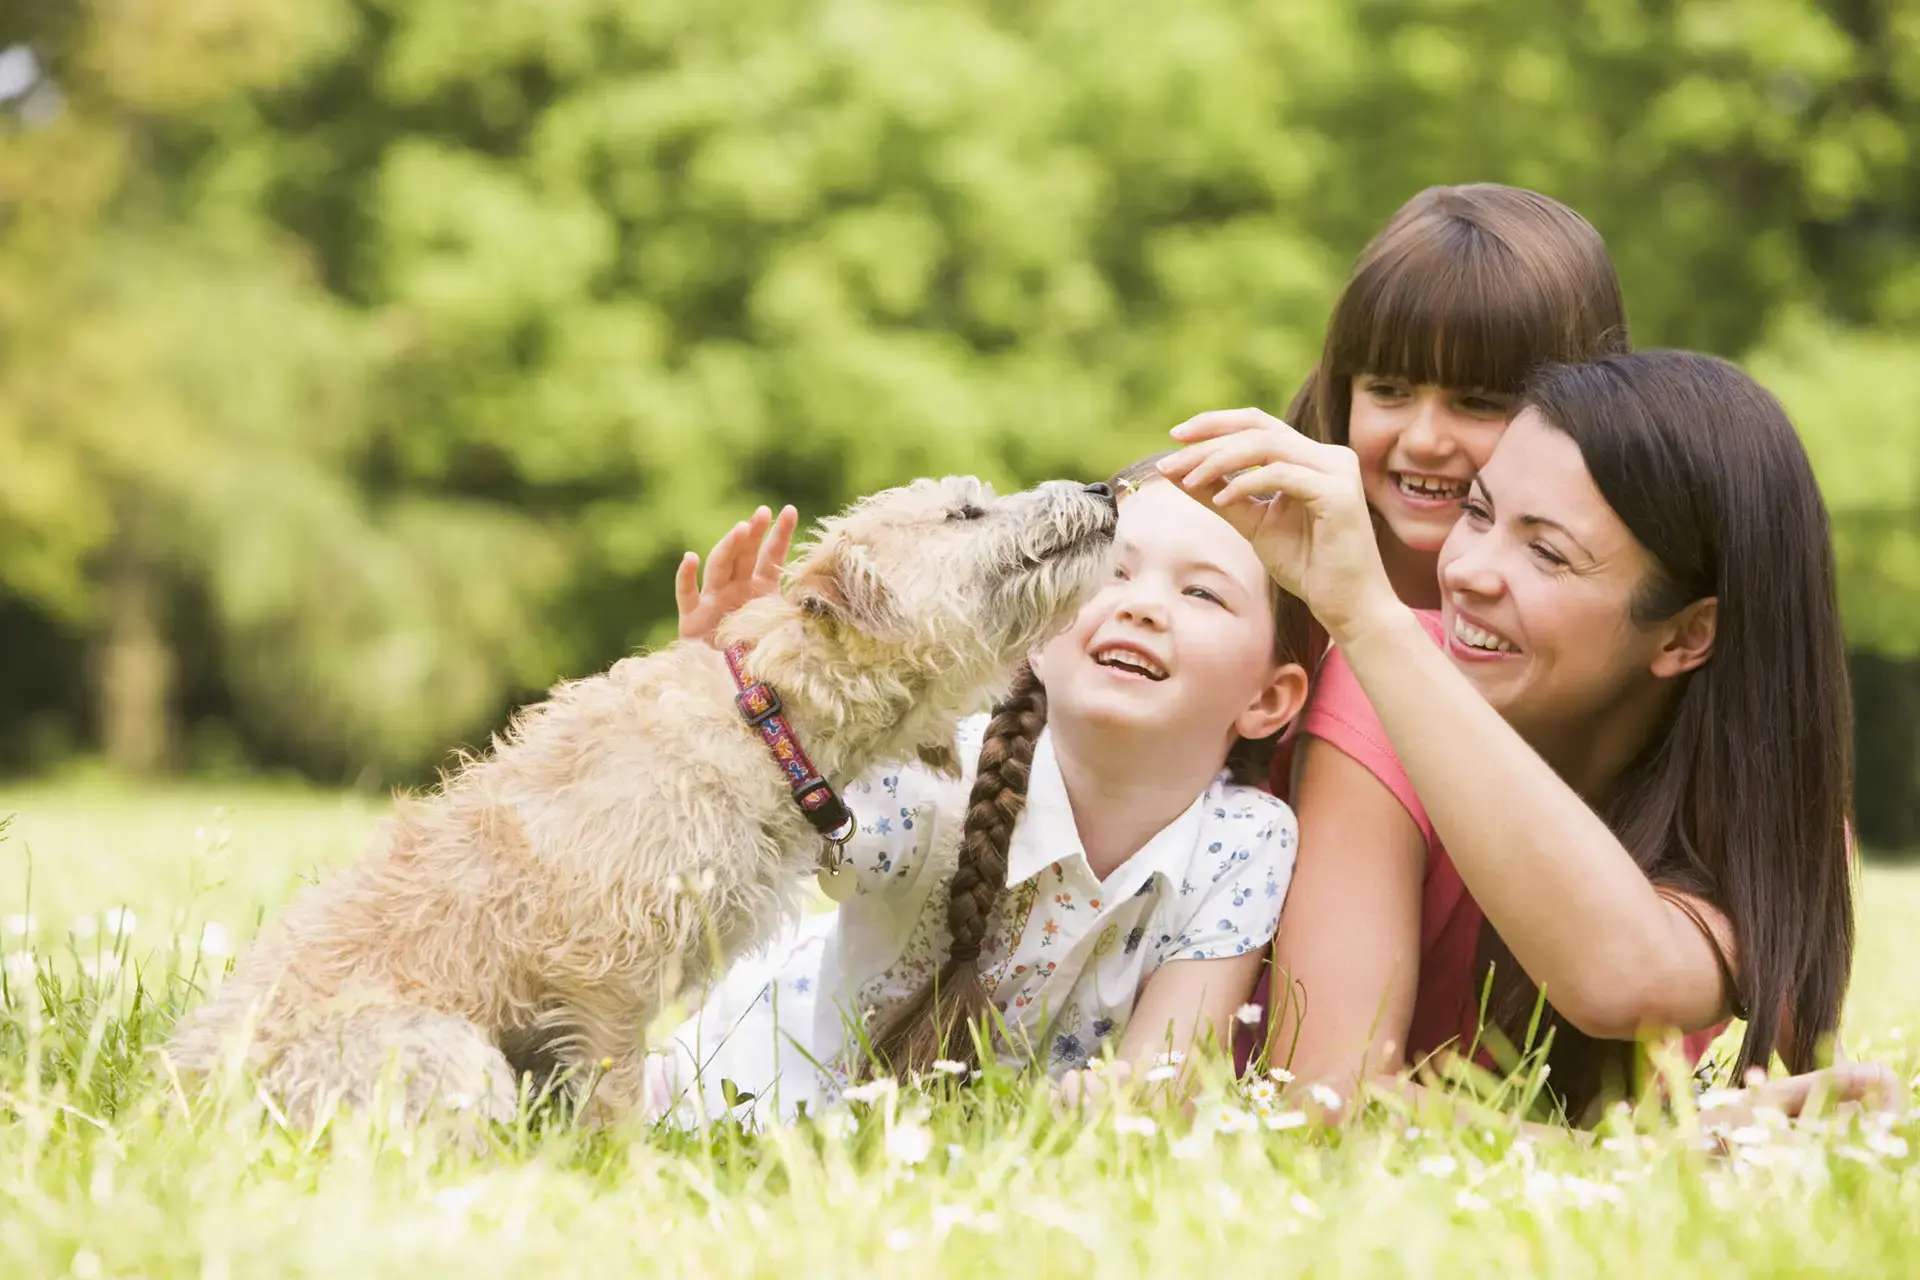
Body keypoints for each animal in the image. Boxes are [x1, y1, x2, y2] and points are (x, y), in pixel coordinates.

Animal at [170, 475, 1121, 1136]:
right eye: (966, 513)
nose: (1104, 490)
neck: (766, 718)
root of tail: (184, 1093)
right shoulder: (605, 970)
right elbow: (617, 1095)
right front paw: (627, 1170)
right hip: (448, 1053)